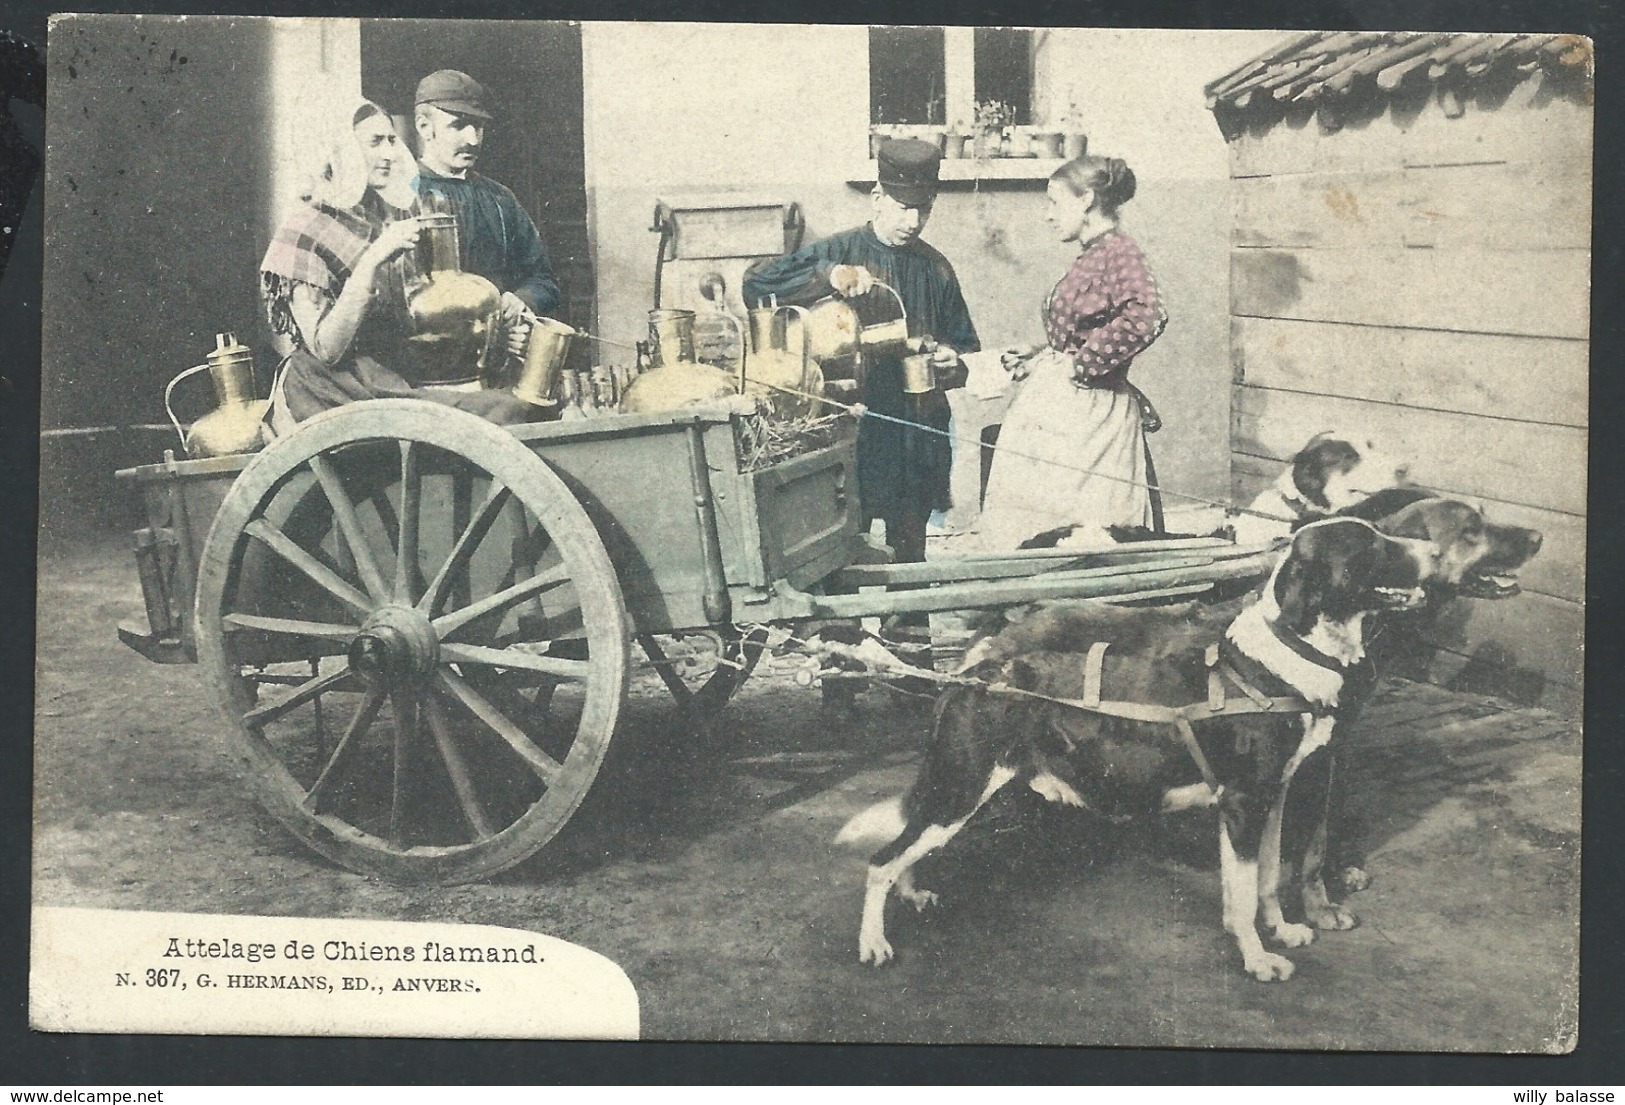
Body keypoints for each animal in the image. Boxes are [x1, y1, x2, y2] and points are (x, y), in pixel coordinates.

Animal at [845, 523, 1430, 981]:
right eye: (1372, 545)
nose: (1433, 551)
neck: (1281, 662)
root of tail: (973, 672)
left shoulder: (1274, 797)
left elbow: (1265, 880)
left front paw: (1283, 932)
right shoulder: (1243, 805)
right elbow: (1242, 897)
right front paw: (1258, 960)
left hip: (957, 791)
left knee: (906, 846)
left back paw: (913, 895)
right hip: (961, 789)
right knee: (882, 860)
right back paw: (873, 944)